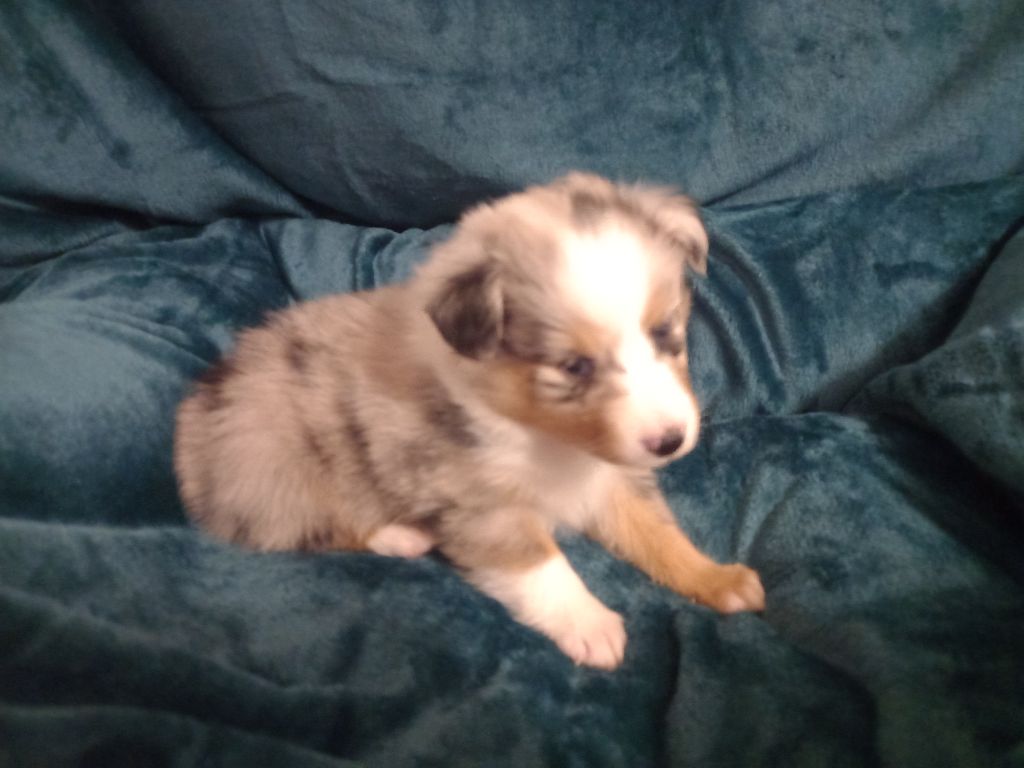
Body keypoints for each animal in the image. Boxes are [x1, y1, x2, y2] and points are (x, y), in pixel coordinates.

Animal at [174, 172, 764, 669]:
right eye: (573, 366)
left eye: (665, 333)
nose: (671, 441)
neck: (549, 440)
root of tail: (194, 417)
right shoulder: (476, 503)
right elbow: (542, 567)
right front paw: (591, 624)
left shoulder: (612, 480)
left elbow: (659, 534)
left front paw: (717, 579)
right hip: (275, 464)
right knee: (294, 528)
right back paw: (399, 537)